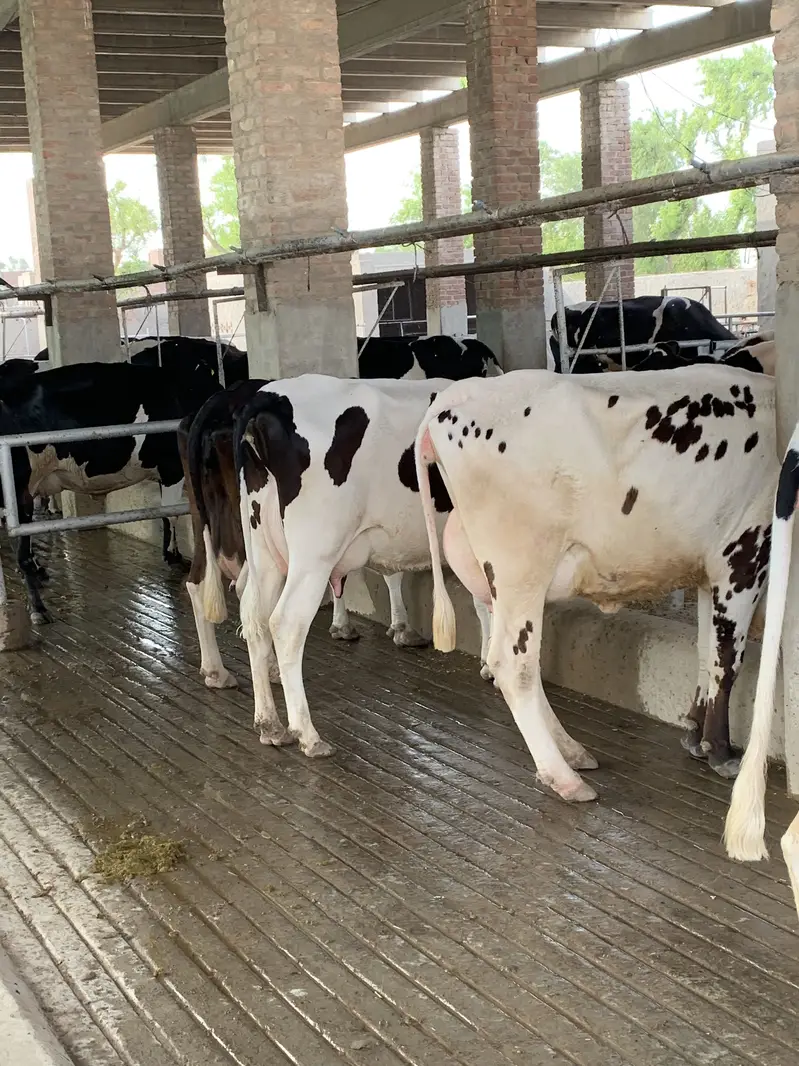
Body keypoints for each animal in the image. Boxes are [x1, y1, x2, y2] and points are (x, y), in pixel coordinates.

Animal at [0, 358, 221, 622]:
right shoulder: (172, 468)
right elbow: (172, 512)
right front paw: (174, 556)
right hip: (19, 489)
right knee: (21, 550)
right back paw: (38, 607)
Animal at [231, 375, 493, 756]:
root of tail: (267, 397)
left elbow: (482, 600)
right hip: (314, 551)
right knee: (286, 623)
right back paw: (308, 735)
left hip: (263, 549)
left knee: (254, 617)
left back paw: (270, 725)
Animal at [413, 365, 778, 801]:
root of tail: (458, 393)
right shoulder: (744, 550)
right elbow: (727, 658)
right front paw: (721, 752)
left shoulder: (707, 568)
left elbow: (705, 650)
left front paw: (694, 734)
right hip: (521, 566)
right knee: (511, 665)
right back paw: (565, 778)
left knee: (525, 664)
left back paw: (573, 752)